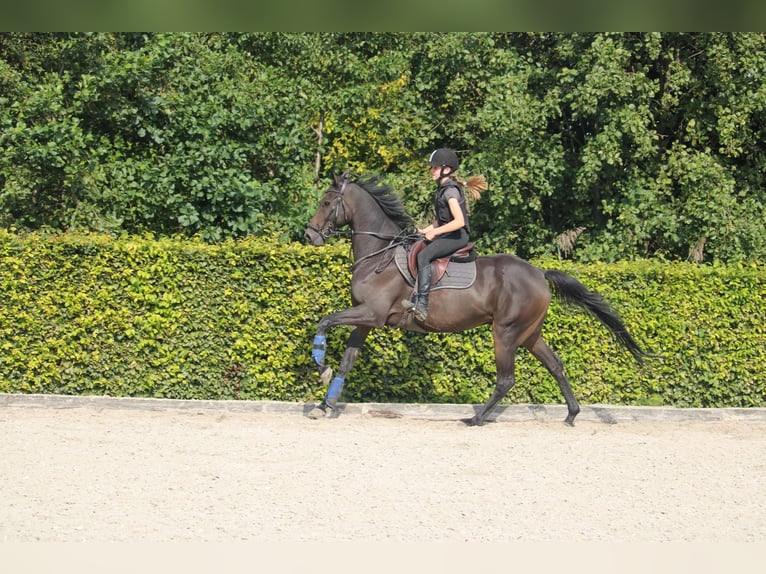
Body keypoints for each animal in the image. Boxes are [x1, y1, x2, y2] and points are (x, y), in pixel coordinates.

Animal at [304, 173, 652, 426]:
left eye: (326, 201)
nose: (309, 235)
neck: (381, 255)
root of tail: (539, 273)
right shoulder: (366, 320)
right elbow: (347, 361)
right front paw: (325, 403)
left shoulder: (371, 314)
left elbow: (324, 321)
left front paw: (320, 367)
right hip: (530, 333)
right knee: (555, 364)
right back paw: (571, 414)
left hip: (506, 332)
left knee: (506, 379)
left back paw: (476, 418)